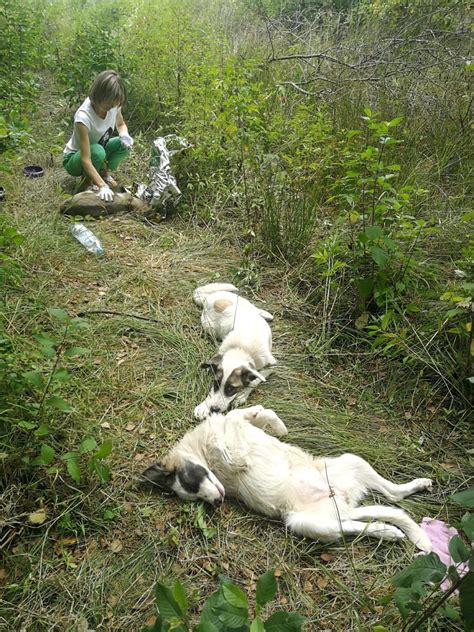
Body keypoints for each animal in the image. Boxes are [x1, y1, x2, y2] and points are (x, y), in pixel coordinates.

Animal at [143, 408, 436, 552]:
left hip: (353, 462)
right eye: (195, 496)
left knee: (392, 495)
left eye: (192, 482)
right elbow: (234, 424)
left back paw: (415, 489)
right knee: (355, 526)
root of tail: (343, 502)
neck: (203, 452)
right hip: (308, 524)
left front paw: (272, 422)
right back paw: (388, 532)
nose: (217, 502)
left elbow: (249, 417)